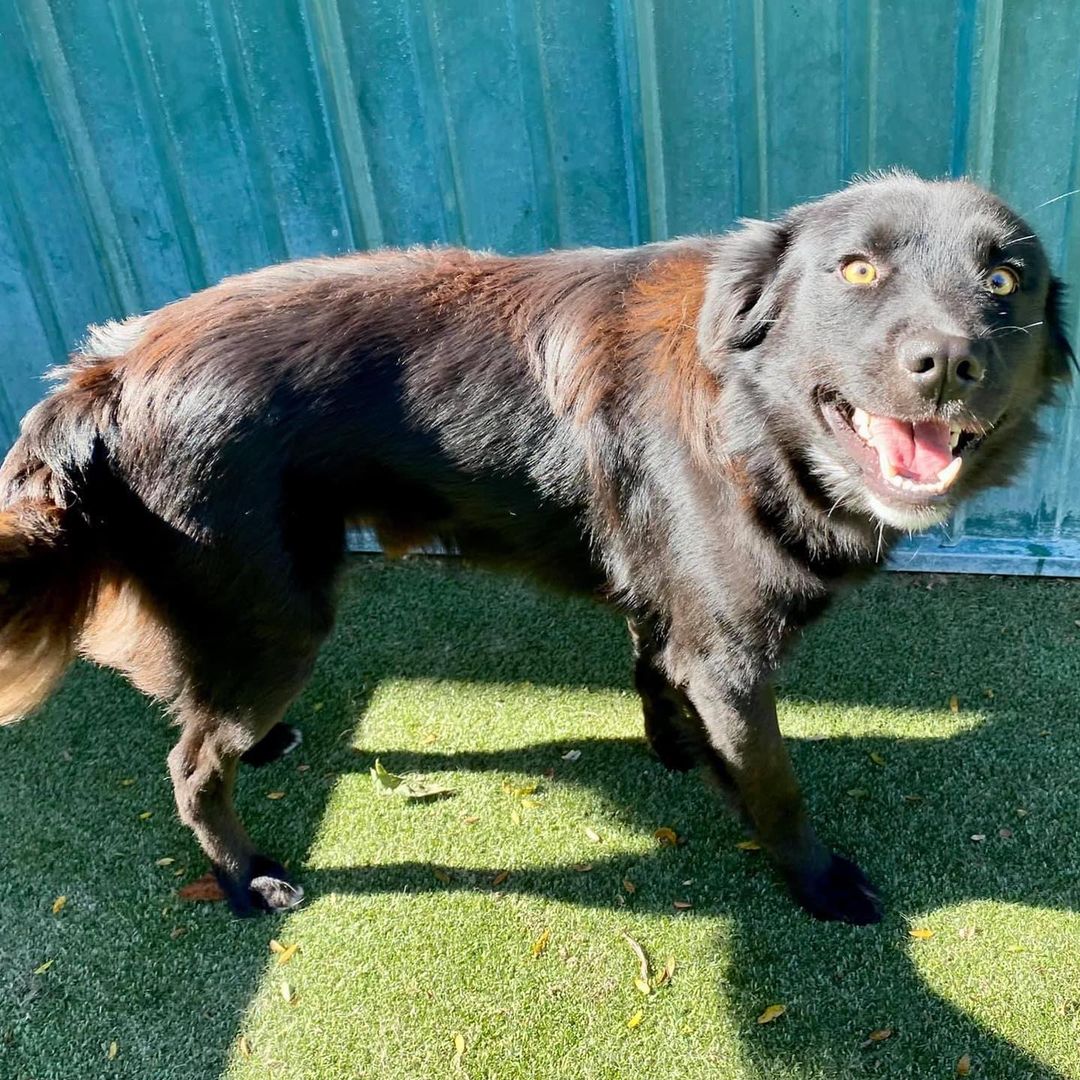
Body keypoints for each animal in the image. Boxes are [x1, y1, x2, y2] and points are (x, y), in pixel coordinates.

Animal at [0, 172, 1067, 924]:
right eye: (857, 270)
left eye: (1003, 280)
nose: (949, 364)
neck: (752, 420)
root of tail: (106, 374)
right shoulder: (730, 655)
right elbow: (776, 786)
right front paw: (817, 883)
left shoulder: (666, 597)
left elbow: (652, 671)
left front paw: (675, 748)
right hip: (280, 613)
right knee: (189, 763)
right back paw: (247, 876)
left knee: (205, 713)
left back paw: (261, 744)